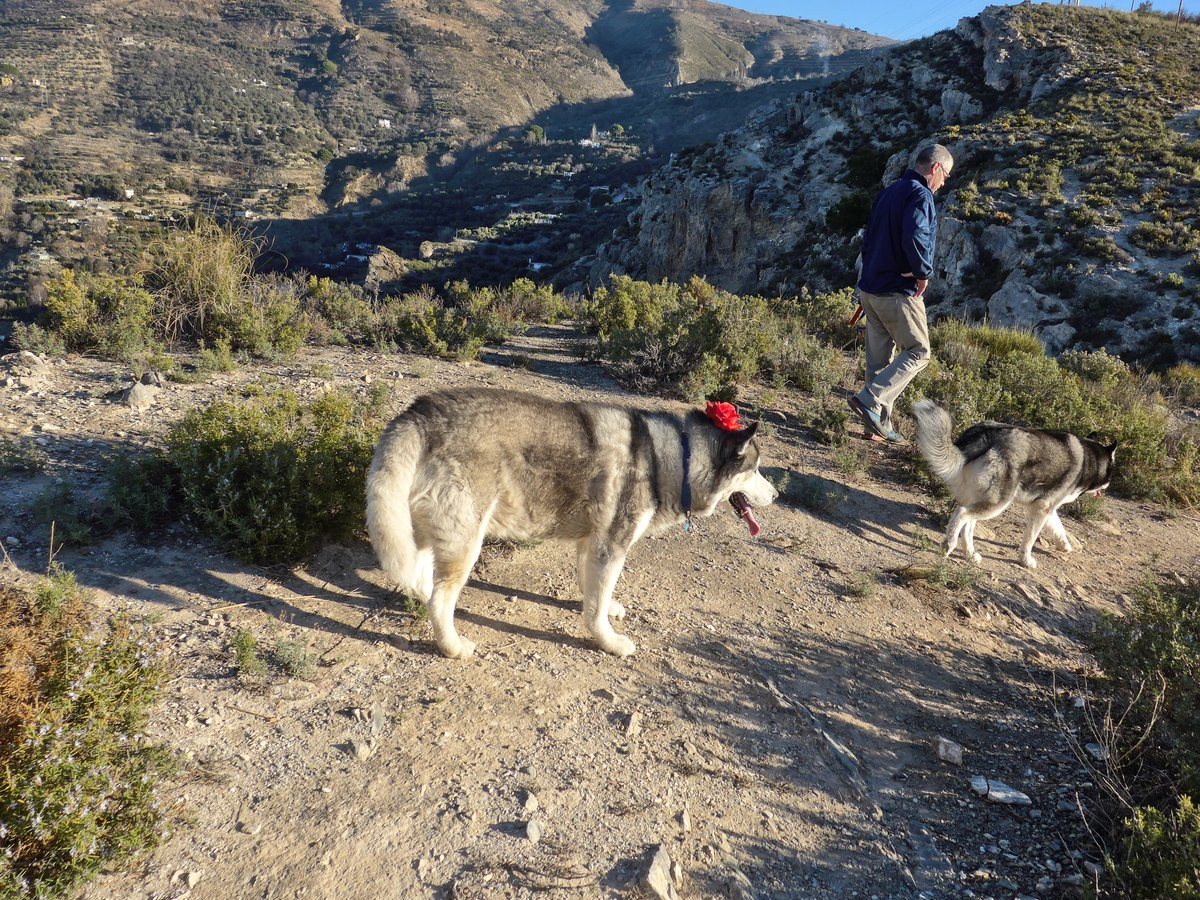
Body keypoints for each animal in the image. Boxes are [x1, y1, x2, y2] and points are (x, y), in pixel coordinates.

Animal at [367, 391, 777, 657]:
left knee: (422, 581)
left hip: (427, 531)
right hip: (466, 542)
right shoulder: (611, 545)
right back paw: (453, 646)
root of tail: (419, 412)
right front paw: (608, 641)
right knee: (440, 599)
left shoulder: (592, 542)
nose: (775, 496)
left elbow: (594, 593)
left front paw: (606, 608)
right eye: (756, 469)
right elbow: (595, 609)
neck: (673, 457)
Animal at [912, 403, 1118, 571]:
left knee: (968, 524)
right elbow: (1029, 540)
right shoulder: (1041, 509)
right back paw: (949, 544)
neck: (1089, 458)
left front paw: (1064, 545)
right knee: (962, 514)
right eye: (1111, 470)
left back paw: (970, 554)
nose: (1108, 485)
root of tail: (986, 434)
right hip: (998, 503)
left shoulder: (1045, 507)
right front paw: (1026, 560)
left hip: (980, 498)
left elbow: (1058, 527)